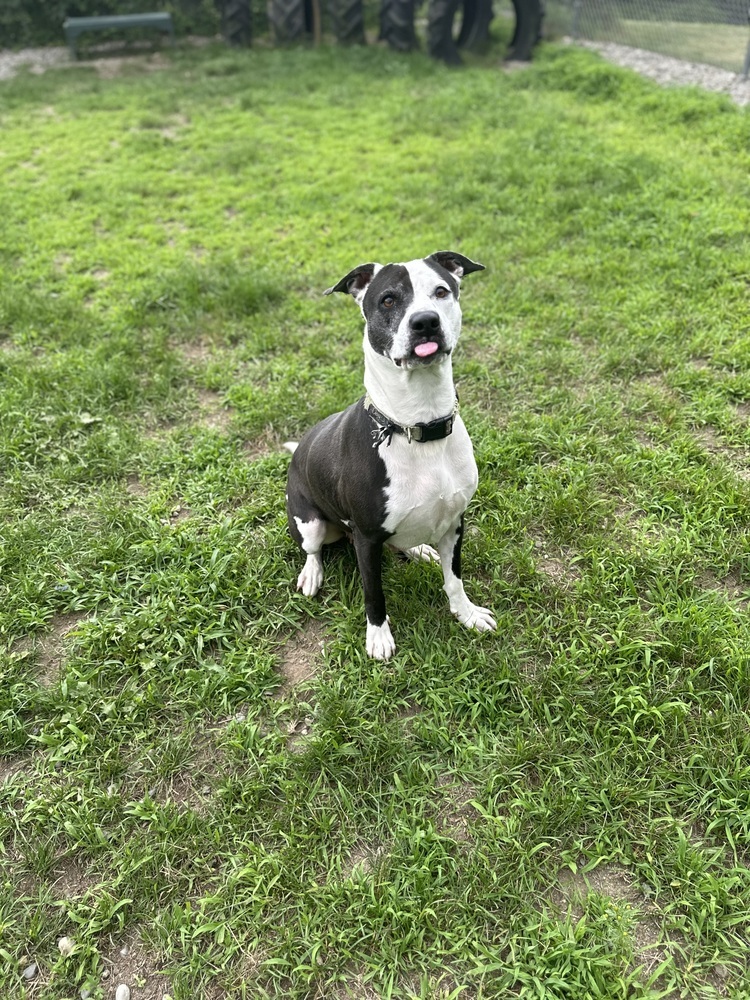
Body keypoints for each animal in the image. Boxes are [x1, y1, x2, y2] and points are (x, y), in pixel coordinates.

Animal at [284, 250, 496, 660]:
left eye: (441, 291)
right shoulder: (366, 539)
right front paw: (378, 637)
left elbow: (455, 579)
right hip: (311, 522)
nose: (425, 321)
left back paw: (421, 550)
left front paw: (467, 614)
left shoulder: (456, 522)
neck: (418, 425)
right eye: (387, 300)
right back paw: (312, 573)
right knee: (312, 549)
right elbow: (374, 594)